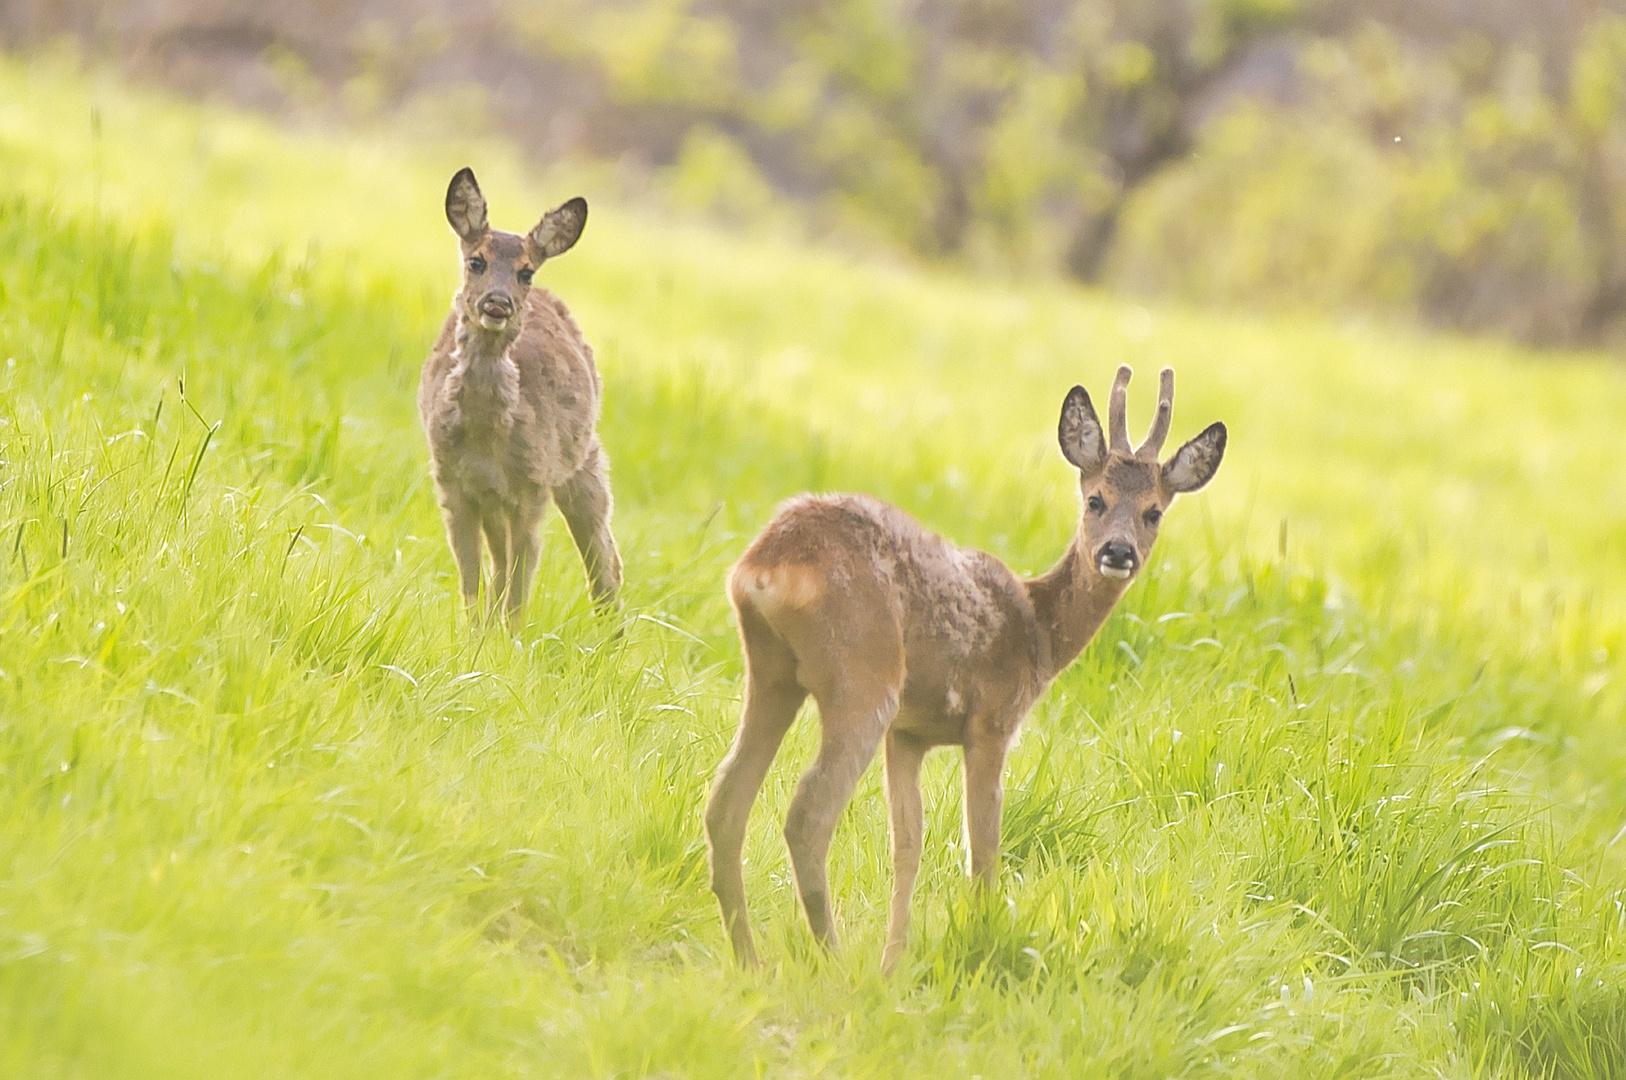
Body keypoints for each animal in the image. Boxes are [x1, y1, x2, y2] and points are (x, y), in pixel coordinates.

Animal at [419, 165, 621, 627]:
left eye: (526, 272)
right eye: (476, 261)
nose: (498, 303)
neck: (486, 436)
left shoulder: (533, 485)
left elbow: (521, 580)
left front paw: (509, 635)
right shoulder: (451, 481)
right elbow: (472, 576)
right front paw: (474, 632)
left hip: (583, 461)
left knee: (605, 557)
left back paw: (611, 638)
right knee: (498, 560)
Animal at [705, 362, 1222, 969]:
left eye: (1154, 512)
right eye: (1095, 499)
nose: (1118, 552)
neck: (1038, 632)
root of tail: (766, 565)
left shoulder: (908, 734)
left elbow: (908, 845)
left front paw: (893, 965)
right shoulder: (992, 721)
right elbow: (983, 847)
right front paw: (977, 939)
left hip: (771, 672)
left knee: (726, 799)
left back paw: (750, 960)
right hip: (862, 673)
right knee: (807, 813)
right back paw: (832, 958)